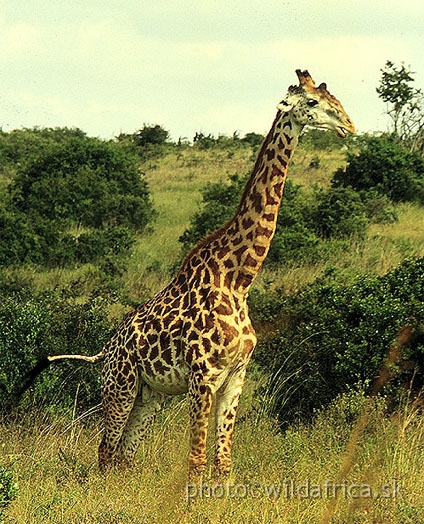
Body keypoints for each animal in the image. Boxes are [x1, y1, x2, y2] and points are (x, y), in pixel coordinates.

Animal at [39, 69, 352, 478]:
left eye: (334, 97)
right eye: (313, 102)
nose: (348, 125)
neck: (238, 279)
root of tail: (105, 350)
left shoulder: (236, 376)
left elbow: (223, 462)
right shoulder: (203, 376)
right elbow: (197, 461)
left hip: (150, 395)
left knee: (124, 455)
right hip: (120, 386)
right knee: (106, 451)